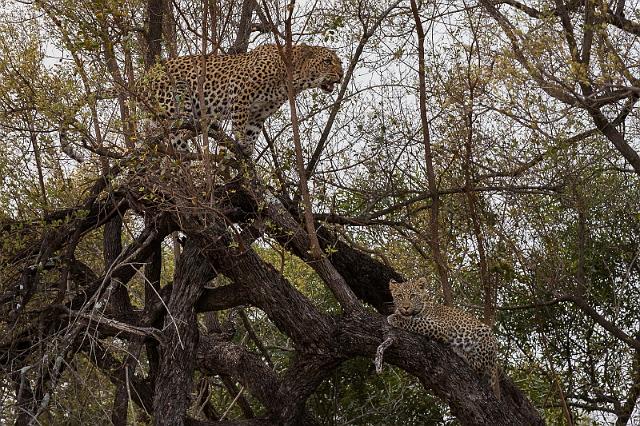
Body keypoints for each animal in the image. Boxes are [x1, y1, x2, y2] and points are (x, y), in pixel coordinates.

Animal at [138, 43, 342, 156]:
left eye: (340, 63)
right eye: (327, 62)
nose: (341, 74)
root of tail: (144, 77)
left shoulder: (259, 113)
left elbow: (253, 131)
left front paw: (248, 152)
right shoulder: (240, 91)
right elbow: (239, 122)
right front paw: (240, 142)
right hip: (177, 97)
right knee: (177, 131)